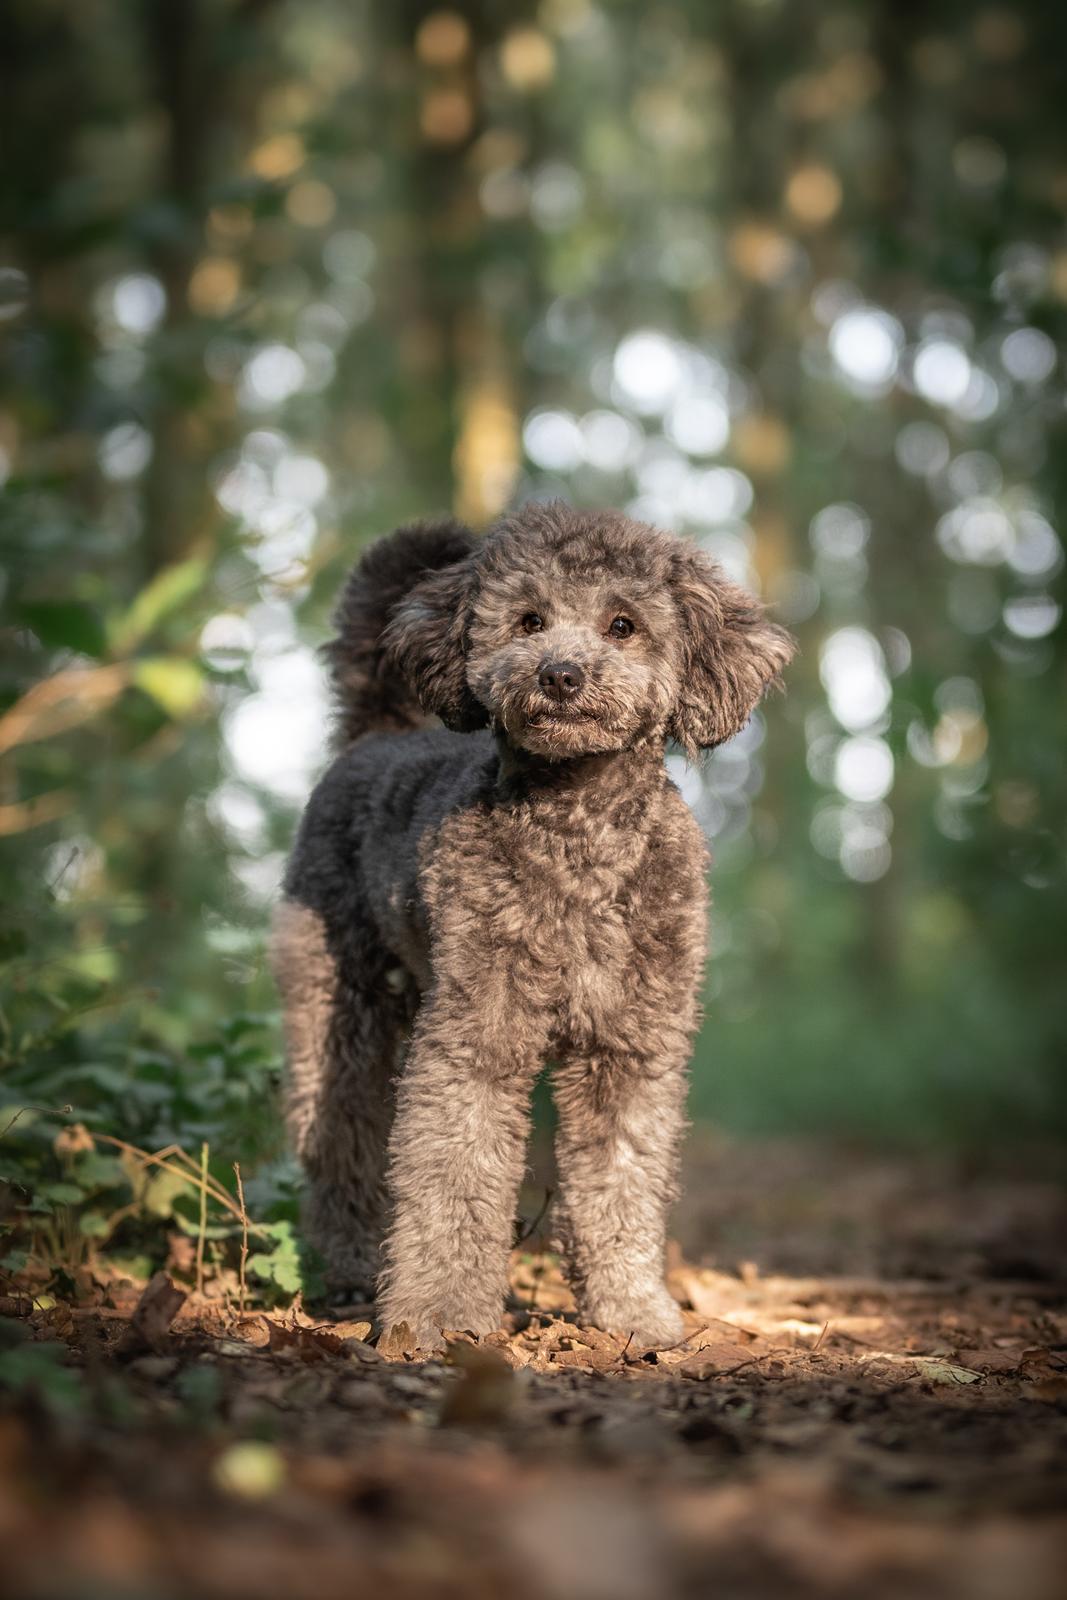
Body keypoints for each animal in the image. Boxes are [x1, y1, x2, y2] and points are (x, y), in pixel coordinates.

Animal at [271, 499, 796, 1350]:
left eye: (622, 624)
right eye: (528, 619)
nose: (560, 674)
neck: (578, 836)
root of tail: (375, 734)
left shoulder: (629, 1047)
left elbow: (619, 1179)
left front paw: (631, 1312)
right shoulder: (476, 1035)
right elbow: (453, 1172)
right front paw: (441, 1314)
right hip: (337, 1005)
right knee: (342, 1136)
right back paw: (350, 1272)